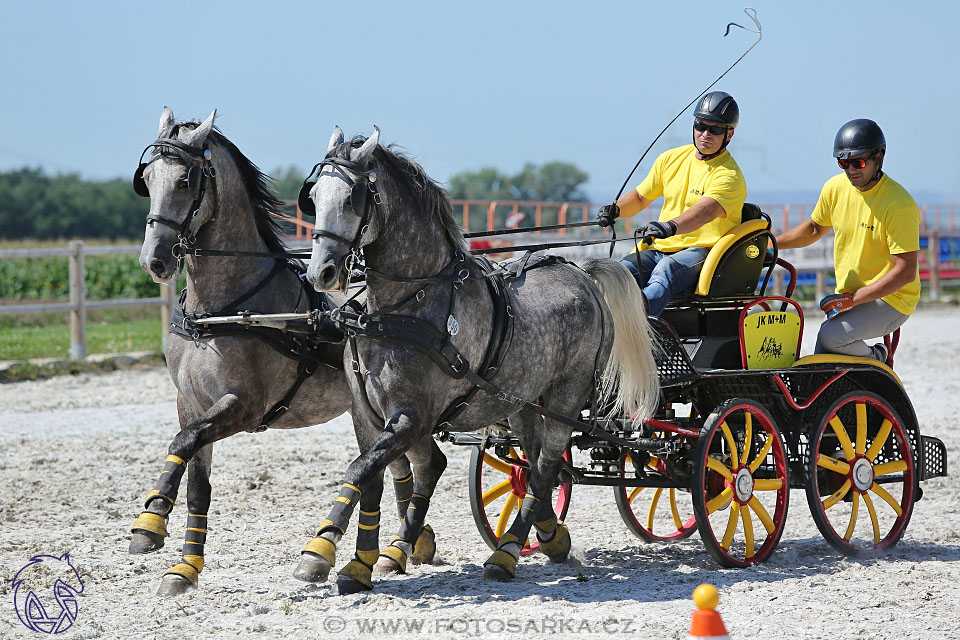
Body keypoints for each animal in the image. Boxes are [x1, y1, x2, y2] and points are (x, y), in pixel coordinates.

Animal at [128, 109, 436, 596]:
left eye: (184, 180)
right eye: (148, 178)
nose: (153, 260)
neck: (219, 311)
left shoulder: (243, 405)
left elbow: (182, 442)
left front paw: (151, 522)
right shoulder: (190, 403)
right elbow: (197, 481)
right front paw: (183, 566)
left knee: (405, 467)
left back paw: (372, 549)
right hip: (370, 410)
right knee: (399, 468)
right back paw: (408, 544)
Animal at [298, 126, 660, 596]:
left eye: (353, 198)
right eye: (313, 196)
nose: (320, 273)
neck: (404, 306)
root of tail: (583, 273)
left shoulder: (412, 416)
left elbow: (364, 469)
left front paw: (319, 552)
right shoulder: (365, 413)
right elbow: (372, 476)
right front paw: (360, 561)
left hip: (567, 393)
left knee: (546, 466)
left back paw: (506, 554)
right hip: (521, 400)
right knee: (533, 466)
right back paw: (549, 537)